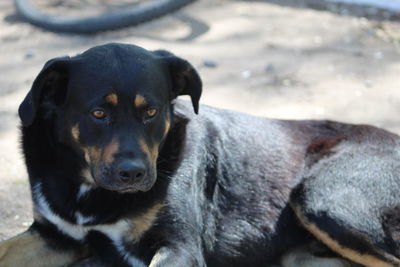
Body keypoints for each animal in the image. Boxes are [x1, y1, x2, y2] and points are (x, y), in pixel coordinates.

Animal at [0, 43, 398, 266]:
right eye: (99, 113)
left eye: (152, 111)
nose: (134, 174)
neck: (86, 186)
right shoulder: (54, 236)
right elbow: (7, 248)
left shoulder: (179, 247)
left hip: (322, 198)